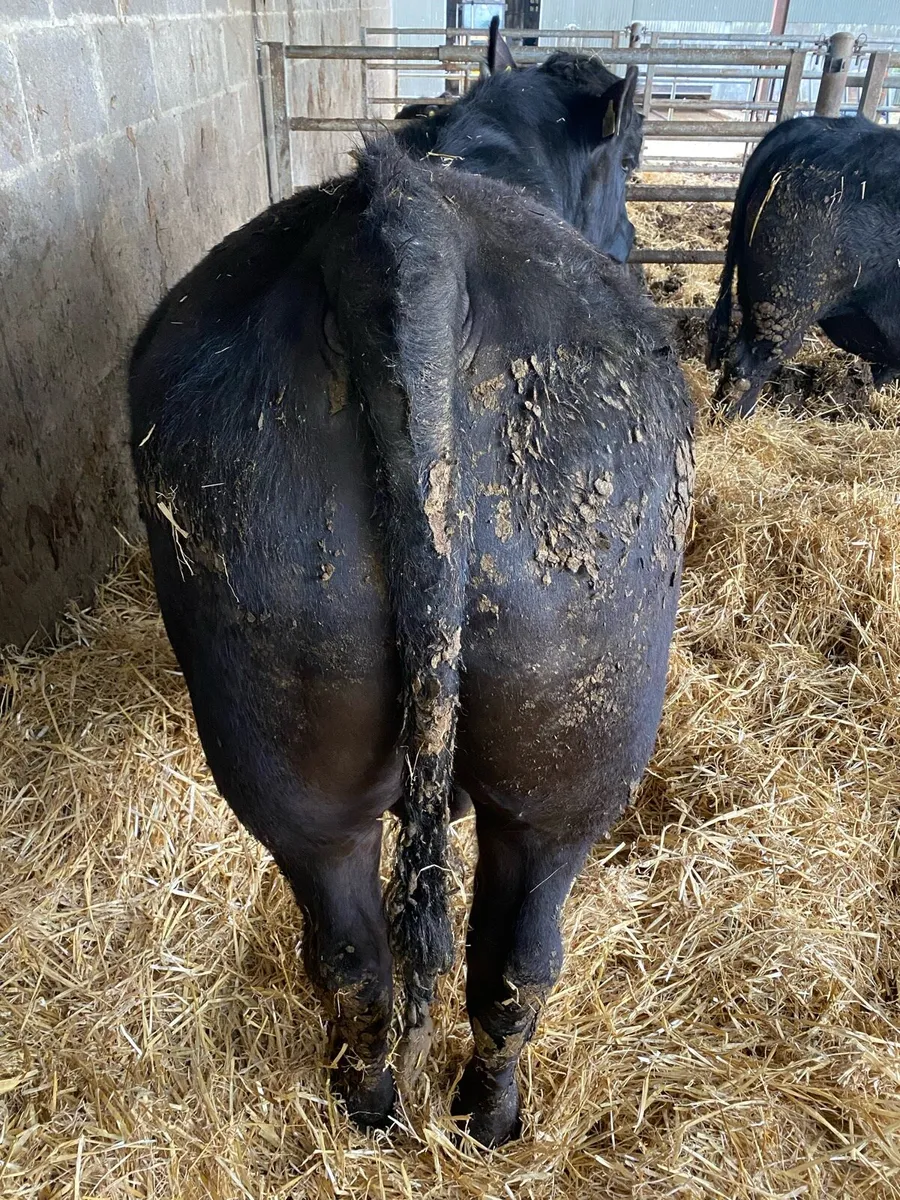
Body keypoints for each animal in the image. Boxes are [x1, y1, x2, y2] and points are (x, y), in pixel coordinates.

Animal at [129, 23, 693, 1148]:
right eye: (636, 153)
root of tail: (405, 231)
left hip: (297, 748)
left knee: (357, 958)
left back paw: (373, 1111)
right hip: (575, 768)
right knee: (519, 959)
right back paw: (489, 1120)